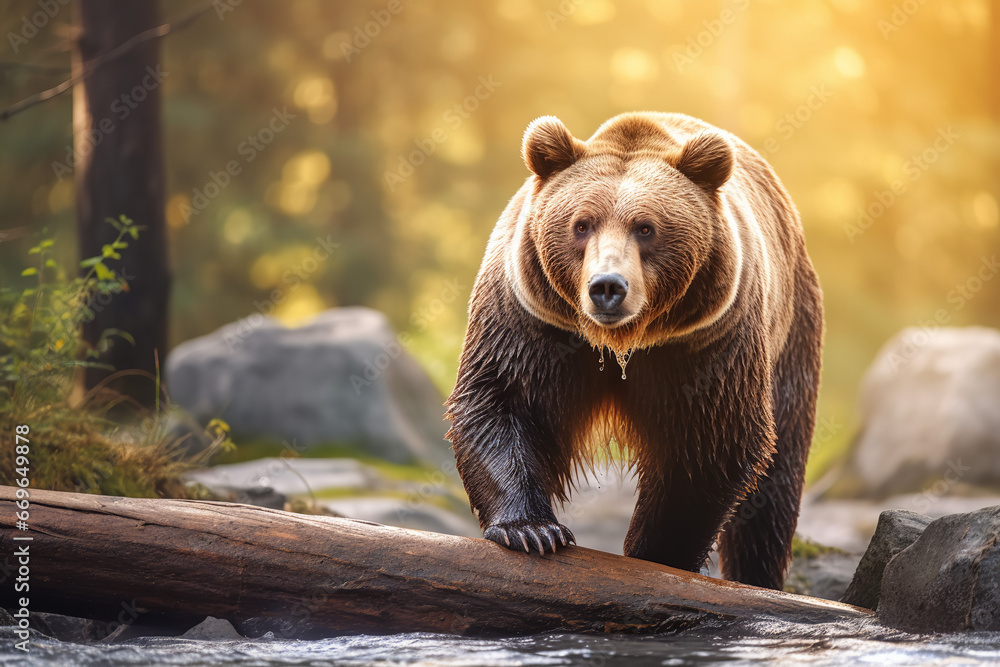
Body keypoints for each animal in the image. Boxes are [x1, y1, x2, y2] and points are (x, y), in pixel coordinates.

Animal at [445, 111, 823, 590]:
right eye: (582, 224)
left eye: (646, 227)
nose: (607, 286)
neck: (621, 344)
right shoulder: (532, 318)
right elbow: (502, 399)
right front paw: (532, 530)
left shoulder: (705, 341)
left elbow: (711, 438)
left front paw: (658, 553)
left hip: (791, 336)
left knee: (776, 484)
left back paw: (758, 575)